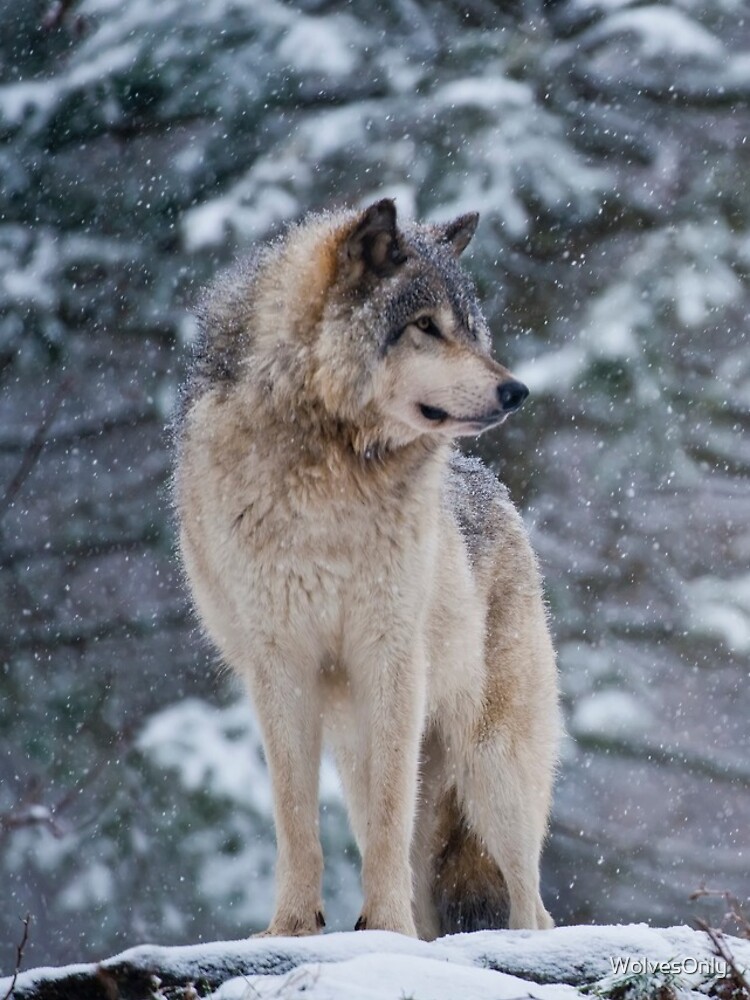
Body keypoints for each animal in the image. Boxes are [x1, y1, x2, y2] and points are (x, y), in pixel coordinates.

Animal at [174, 199, 561, 939]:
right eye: (426, 327)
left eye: (471, 331)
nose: (518, 390)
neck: (331, 472)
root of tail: (495, 490)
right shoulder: (279, 664)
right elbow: (295, 818)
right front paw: (293, 928)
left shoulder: (392, 657)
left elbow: (388, 820)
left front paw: (384, 930)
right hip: (375, 756)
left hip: (492, 771)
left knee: (533, 906)